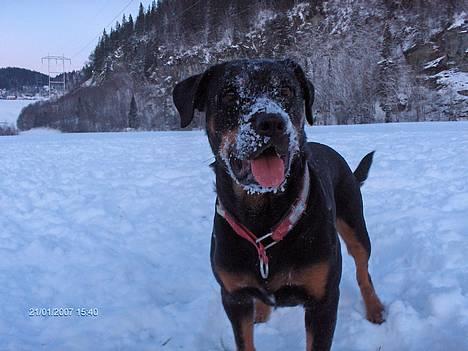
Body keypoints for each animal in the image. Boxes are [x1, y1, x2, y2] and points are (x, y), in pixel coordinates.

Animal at [172, 59, 384, 351]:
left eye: (286, 91)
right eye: (228, 95)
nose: (271, 122)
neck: (264, 218)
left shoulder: (323, 300)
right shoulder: (233, 295)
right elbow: (245, 340)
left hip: (354, 222)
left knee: (363, 269)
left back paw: (374, 308)